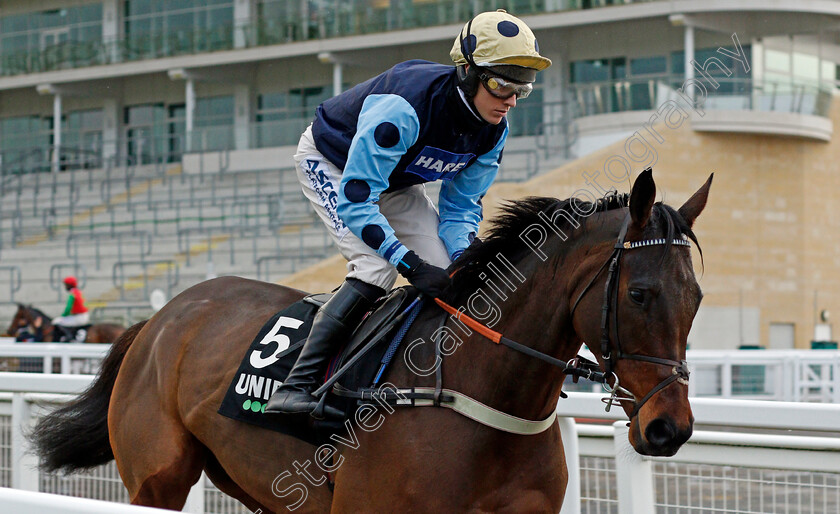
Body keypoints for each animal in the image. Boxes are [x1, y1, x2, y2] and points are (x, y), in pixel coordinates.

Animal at [31, 170, 708, 510]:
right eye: (640, 293)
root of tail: (162, 318)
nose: (668, 429)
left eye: (697, 297)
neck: (474, 391)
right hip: (157, 480)